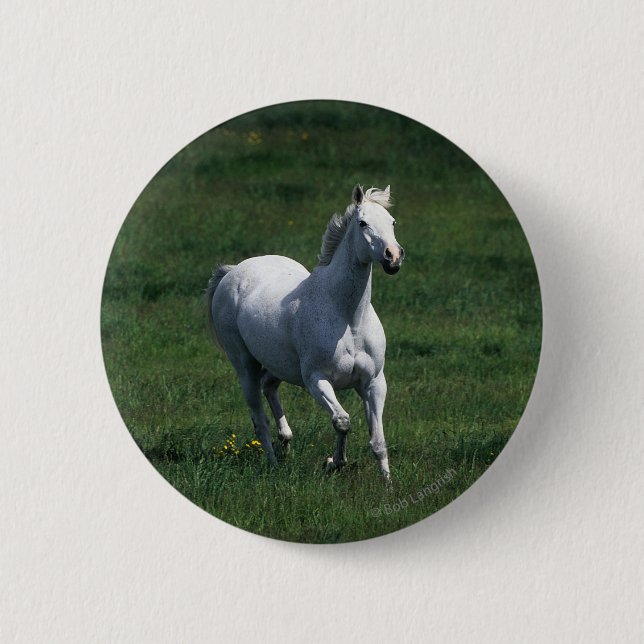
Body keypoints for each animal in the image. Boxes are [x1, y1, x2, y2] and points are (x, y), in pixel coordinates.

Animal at [206, 185, 405, 481]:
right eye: (363, 223)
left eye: (392, 222)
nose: (393, 257)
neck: (348, 318)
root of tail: (232, 271)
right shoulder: (316, 380)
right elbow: (342, 421)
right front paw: (335, 462)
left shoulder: (374, 383)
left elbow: (378, 441)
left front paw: (387, 483)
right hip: (244, 365)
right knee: (259, 417)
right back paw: (273, 463)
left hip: (279, 365)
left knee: (269, 387)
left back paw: (285, 442)